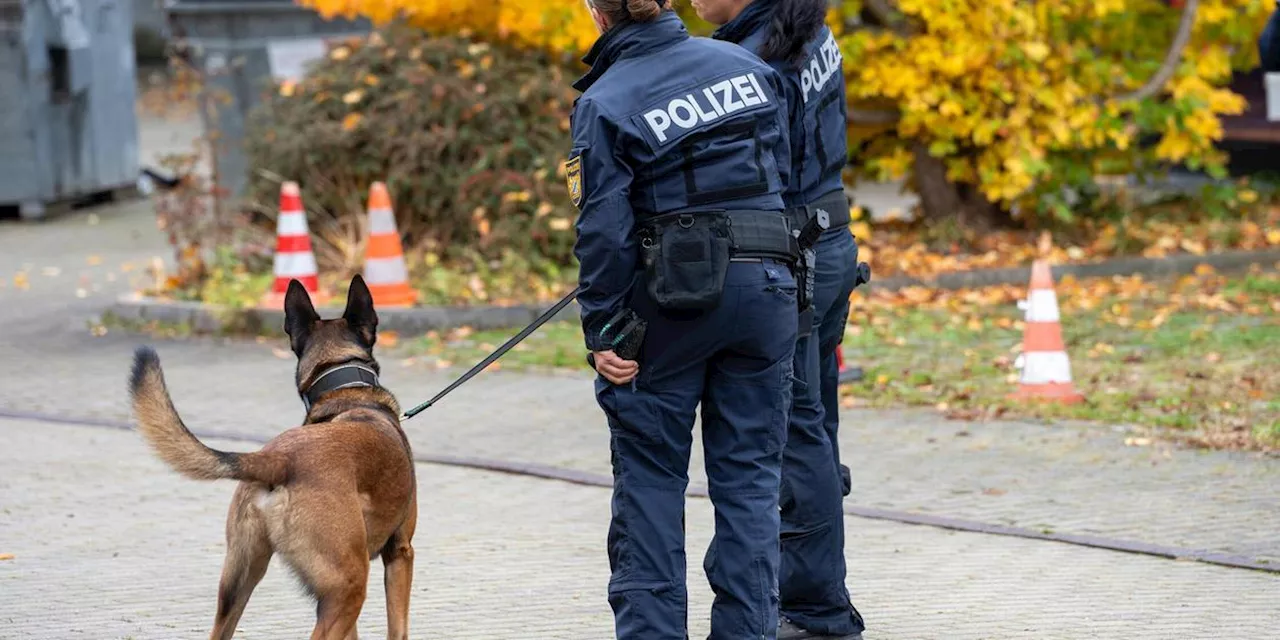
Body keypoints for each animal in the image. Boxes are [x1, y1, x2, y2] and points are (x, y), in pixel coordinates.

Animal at [128, 276, 414, 640]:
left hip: (239, 581)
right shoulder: (401, 552)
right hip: (348, 587)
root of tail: (279, 459)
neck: (350, 393)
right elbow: (398, 628)